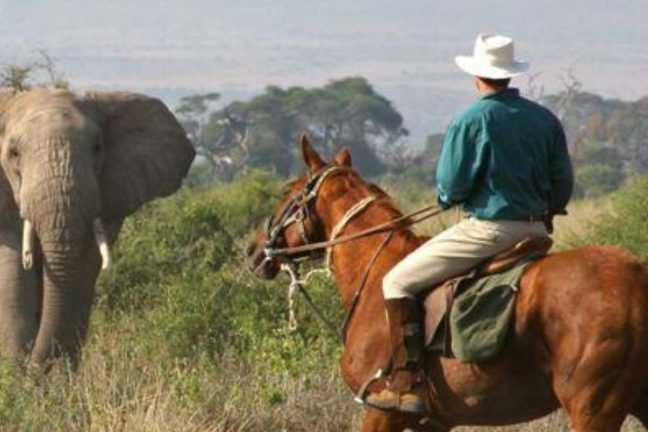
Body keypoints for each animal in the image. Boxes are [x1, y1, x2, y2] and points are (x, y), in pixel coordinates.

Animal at [0, 88, 195, 368]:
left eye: (97, 148)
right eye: (13, 153)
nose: (33, 366)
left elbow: (81, 275)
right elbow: (12, 279)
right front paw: (17, 373)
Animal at [246, 133, 648, 430]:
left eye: (286, 191)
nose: (253, 250)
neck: (375, 269)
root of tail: (635, 277)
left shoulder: (381, 412)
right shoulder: (435, 423)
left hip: (592, 411)